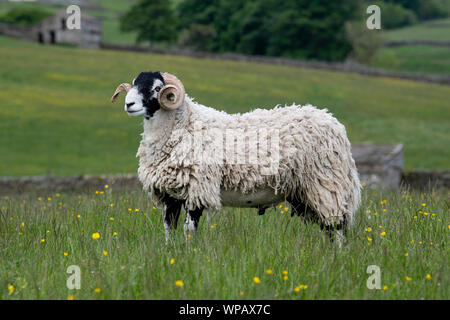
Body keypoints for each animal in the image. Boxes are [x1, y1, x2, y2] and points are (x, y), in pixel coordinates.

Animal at [112, 71, 362, 244]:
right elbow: (168, 230)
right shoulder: (170, 195)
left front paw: (188, 258)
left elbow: (189, 231)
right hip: (306, 192)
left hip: (326, 184)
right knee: (328, 229)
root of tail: (334, 123)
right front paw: (170, 255)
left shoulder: (198, 189)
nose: (128, 104)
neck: (182, 126)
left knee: (337, 226)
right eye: (134, 83)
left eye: (156, 88)